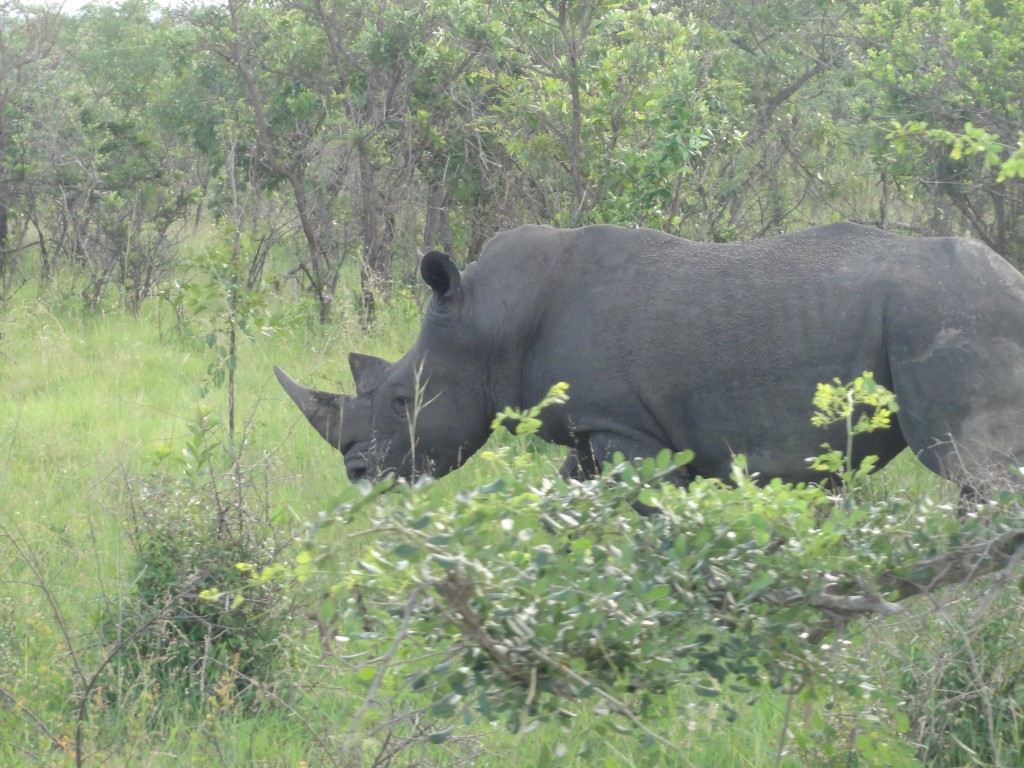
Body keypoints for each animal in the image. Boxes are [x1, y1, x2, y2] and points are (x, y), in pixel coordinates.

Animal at [275, 223, 1024, 500]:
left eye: (404, 401)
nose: (357, 474)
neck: (489, 320)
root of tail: (1014, 281)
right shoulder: (594, 424)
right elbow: (564, 511)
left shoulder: (626, 429)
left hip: (948, 315)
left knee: (971, 469)